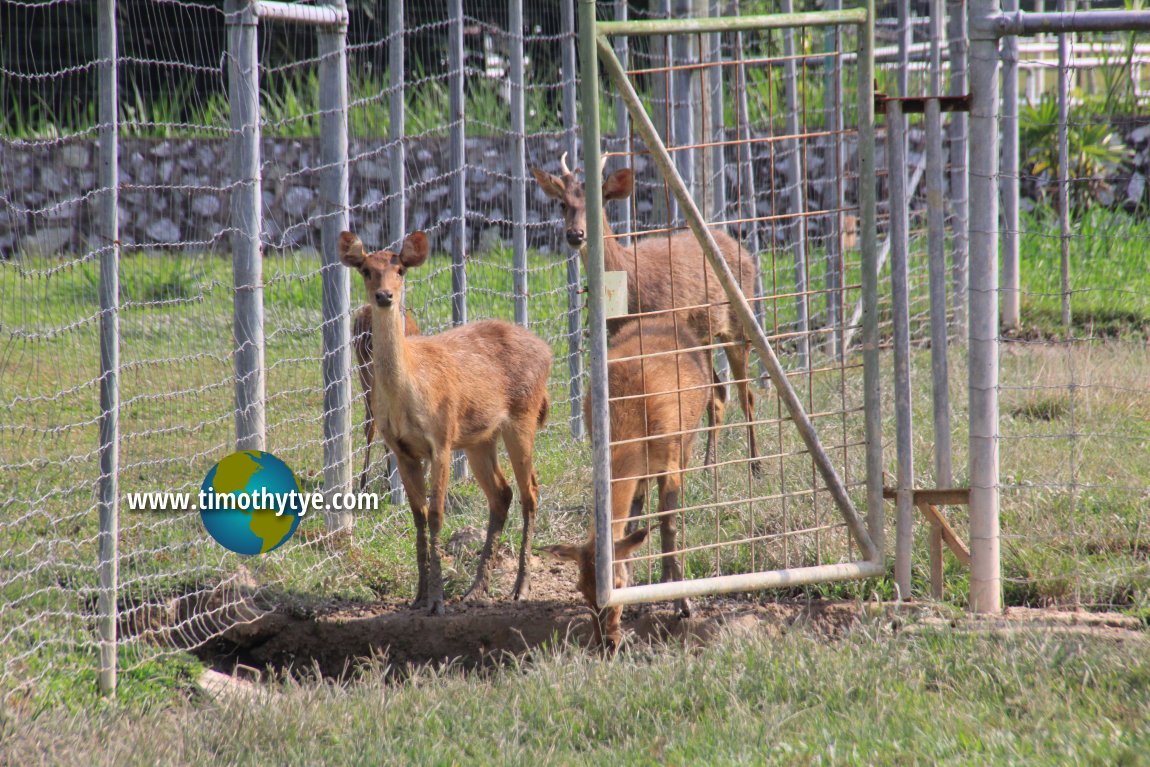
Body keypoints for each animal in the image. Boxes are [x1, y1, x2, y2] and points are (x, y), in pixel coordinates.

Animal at [531, 151, 763, 471]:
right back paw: (708, 466)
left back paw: (756, 465)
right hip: (704, 336)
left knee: (746, 394)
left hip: (740, 321)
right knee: (718, 395)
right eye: (562, 203)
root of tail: (740, 248)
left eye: (600, 200)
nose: (575, 234)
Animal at [538, 317, 708, 648]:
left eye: (615, 583)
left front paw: (682, 604)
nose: (605, 641)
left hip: (690, 440)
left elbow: (668, 527)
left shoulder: (670, 461)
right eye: (580, 588)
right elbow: (630, 525)